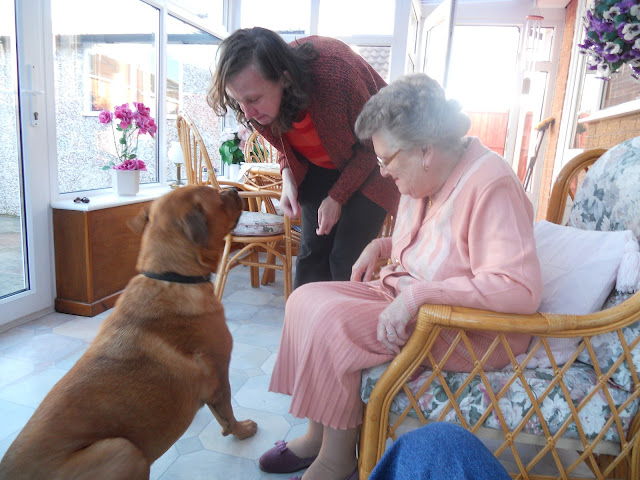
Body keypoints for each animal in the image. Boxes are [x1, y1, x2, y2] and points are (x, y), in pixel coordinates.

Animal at [1, 186, 260, 478]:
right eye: (216, 195)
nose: (235, 189)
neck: (171, 276)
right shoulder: (219, 374)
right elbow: (227, 414)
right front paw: (242, 430)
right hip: (125, 450)